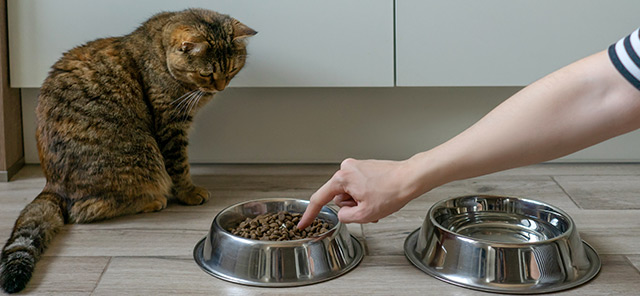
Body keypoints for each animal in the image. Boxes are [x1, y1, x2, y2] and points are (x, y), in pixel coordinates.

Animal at [0, 8, 255, 292]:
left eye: (232, 69)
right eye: (207, 74)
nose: (221, 87)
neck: (159, 51)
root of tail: (51, 185)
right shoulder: (170, 125)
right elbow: (179, 166)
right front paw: (188, 192)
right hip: (143, 155)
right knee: (84, 210)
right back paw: (152, 200)